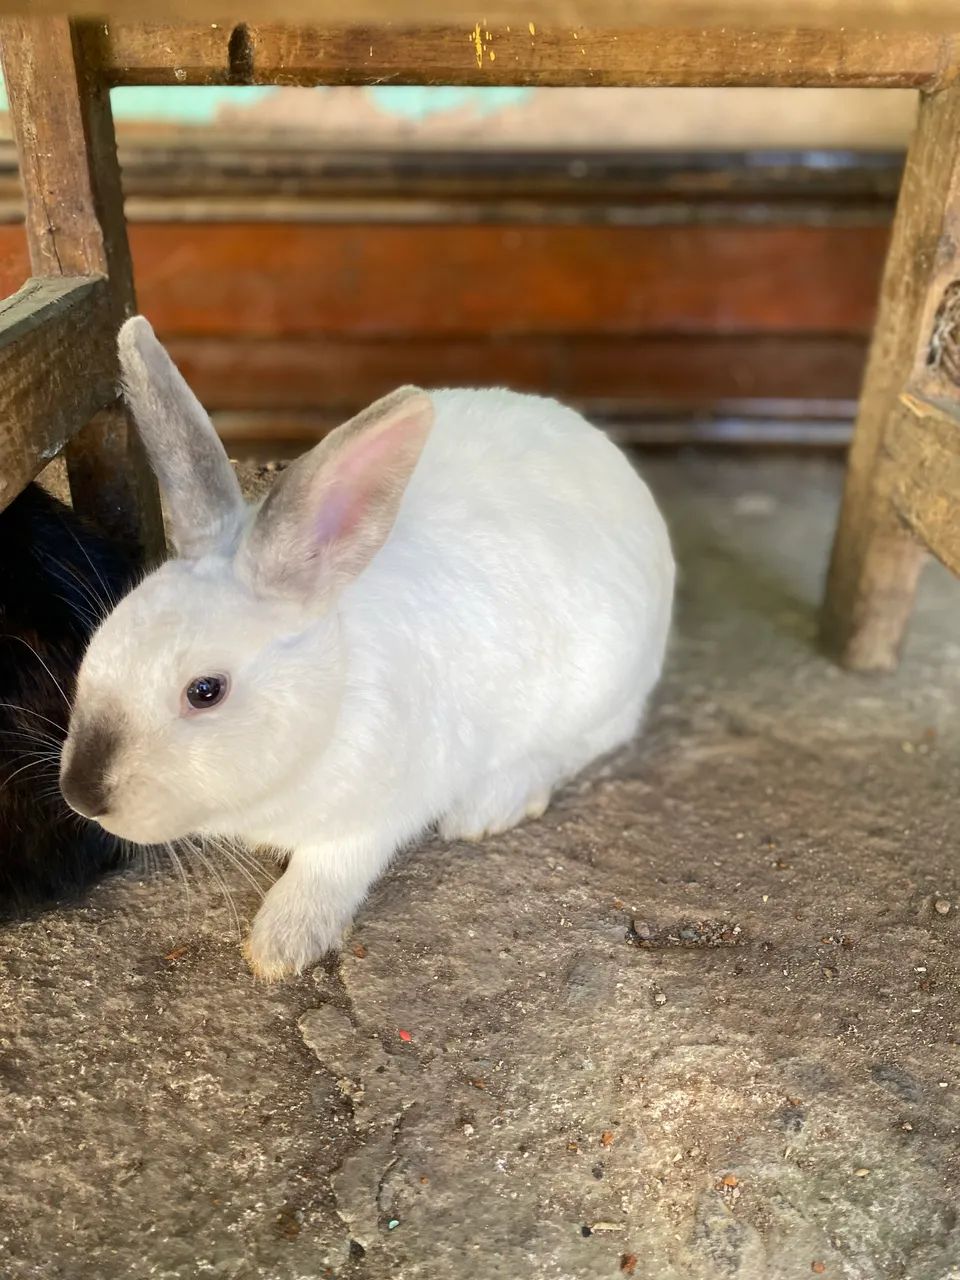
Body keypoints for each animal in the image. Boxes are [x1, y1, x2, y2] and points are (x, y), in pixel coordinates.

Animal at [60, 316, 675, 979]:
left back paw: (487, 808)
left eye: (205, 691)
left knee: (584, 745)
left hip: (601, 683)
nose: (81, 796)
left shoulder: (374, 817)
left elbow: (327, 873)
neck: (332, 696)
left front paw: (280, 946)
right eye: (102, 641)